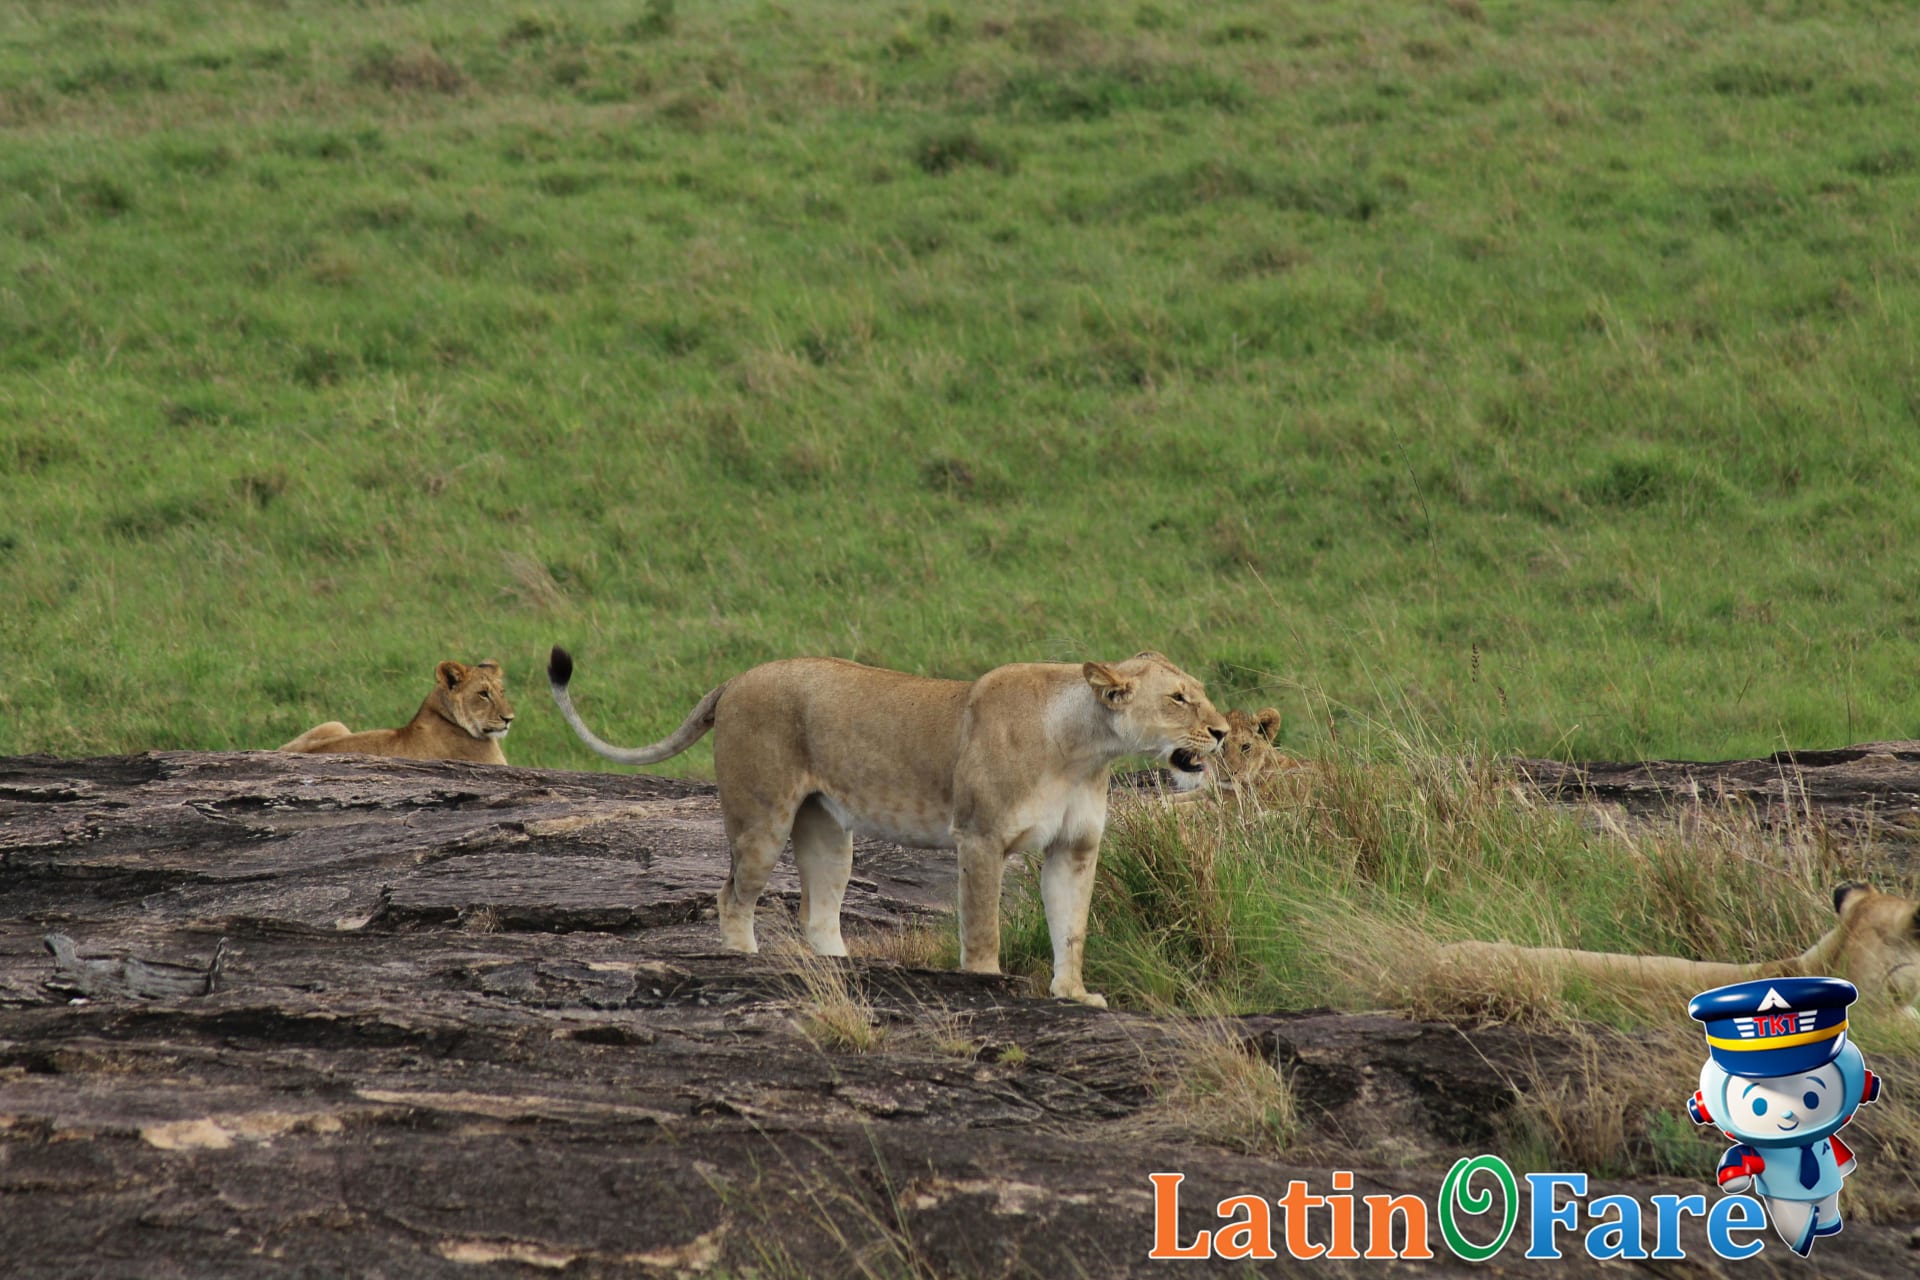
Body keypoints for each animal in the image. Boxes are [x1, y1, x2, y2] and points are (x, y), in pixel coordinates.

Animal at [548, 646, 1229, 1006]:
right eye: (1179, 698)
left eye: (1200, 692)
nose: (1223, 732)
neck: (1086, 750)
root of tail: (737, 678)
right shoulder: (980, 837)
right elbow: (982, 925)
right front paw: (988, 982)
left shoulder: (1075, 848)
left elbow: (1073, 927)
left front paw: (1073, 993)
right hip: (761, 818)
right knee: (730, 895)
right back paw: (745, 958)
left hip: (828, 833)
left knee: (817, 913)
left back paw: (843, 970)